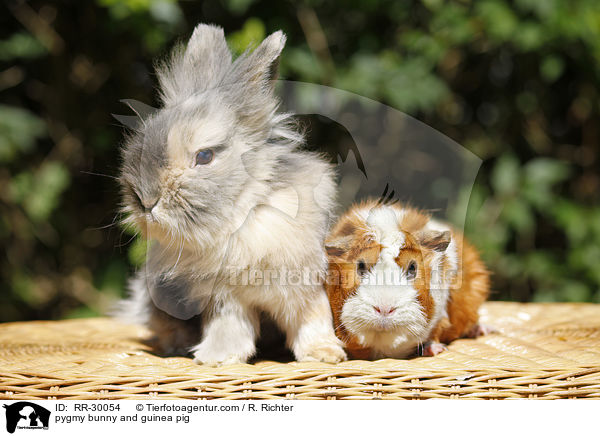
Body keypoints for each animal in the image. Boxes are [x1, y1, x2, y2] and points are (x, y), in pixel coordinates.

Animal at [115, 23, 346, 364]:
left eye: (205, 156)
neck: (238, 220)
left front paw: (325, 354)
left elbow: (312, 319)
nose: (145, 201)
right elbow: (229, 327)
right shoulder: (225, 297)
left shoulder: (303, 285)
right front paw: (217, 358)